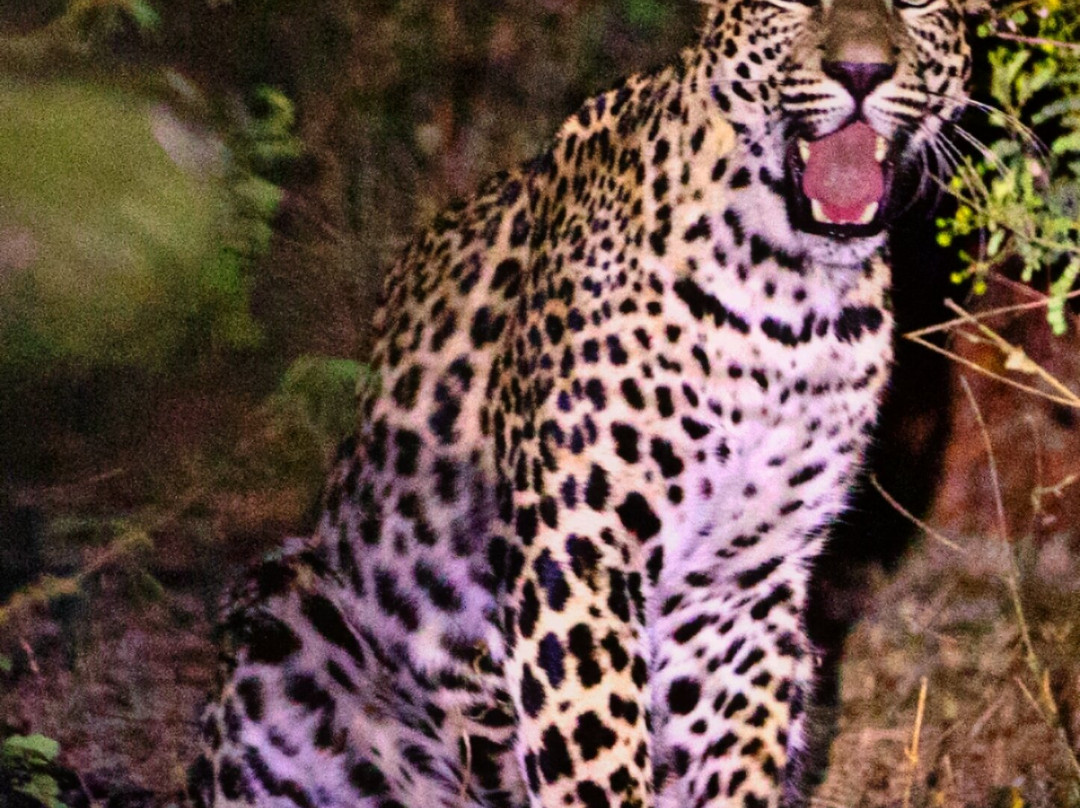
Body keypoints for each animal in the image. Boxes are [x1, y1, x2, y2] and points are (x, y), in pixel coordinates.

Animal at [187, 0, 972, 805]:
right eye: (789, 4)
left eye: (915, 4)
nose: (859, 70)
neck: (790, 297)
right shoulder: (579, 543)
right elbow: (592, 745)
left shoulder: (742, 589)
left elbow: (737, 749)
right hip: (287, 611)